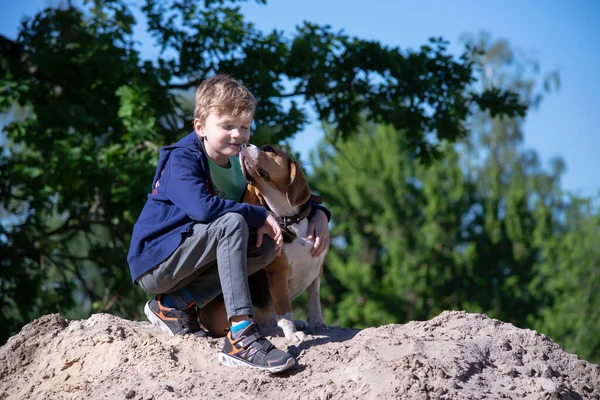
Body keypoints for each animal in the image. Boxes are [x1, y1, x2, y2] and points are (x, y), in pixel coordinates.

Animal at [199, 144, 326, 340]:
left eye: (269, 149)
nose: (244, 145)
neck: (290, 220)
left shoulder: (317, 270)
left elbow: (314, 301)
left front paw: (317, 323)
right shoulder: (278, 274)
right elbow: (285, 310)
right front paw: (292, 334)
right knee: (262, 325)